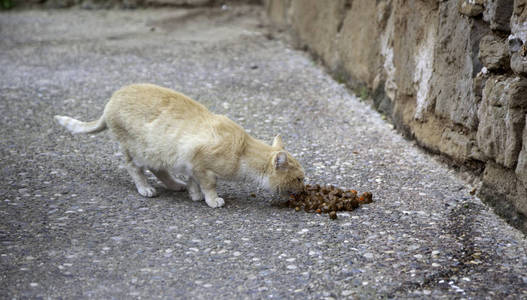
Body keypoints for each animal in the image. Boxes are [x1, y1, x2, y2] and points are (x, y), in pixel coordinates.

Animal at [54, 83, 306, 207]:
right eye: (299, 179)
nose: (304, 190)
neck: (242, 151)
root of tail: (111, 100)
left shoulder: (190, 162)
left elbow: (193, 180)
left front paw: (194, 194)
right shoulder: (201, 164)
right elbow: (209, 184)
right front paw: (212, 200)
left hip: (156, 152)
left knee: (158, 169)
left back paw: (175, 185)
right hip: (134, 150)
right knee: (135, 169)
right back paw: (145, 188)